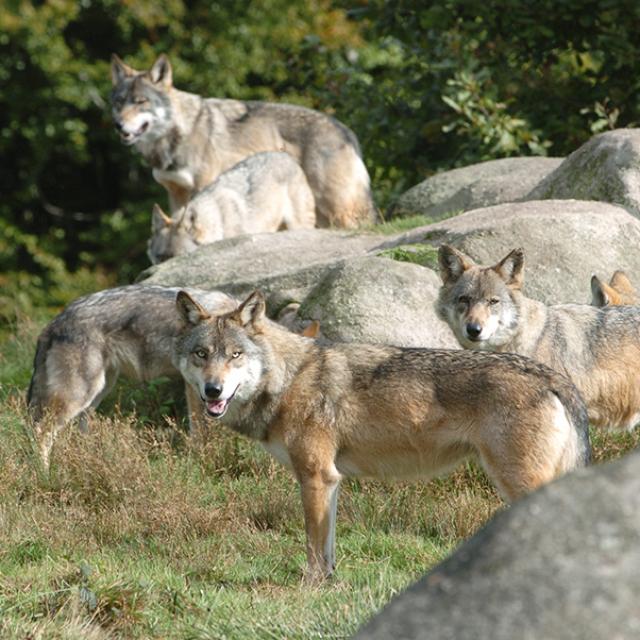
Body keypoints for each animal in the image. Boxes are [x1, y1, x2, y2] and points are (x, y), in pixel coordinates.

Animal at [112, 53, 378, 228]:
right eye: (119, 102)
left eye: (140, 102)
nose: (118, 125)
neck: (177, 136)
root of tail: (346, 131)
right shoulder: (175, 193)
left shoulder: (202, 187)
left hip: (339, 209)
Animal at [174, 292, 592, 584]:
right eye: (201, 354)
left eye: (235, 355)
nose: (212, 390)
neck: (289, 377)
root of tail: (552, 377)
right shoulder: (331, 480)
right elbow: (327, 548)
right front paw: (328, 584)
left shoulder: (315, 476)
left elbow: (312, 546)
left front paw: (309, 586)